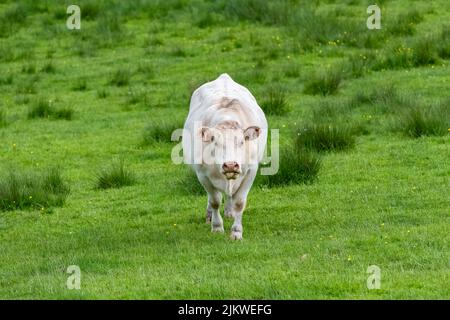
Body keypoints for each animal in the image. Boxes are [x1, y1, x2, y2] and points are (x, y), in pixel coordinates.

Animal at [182, 74, 268, 240]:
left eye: (242, 142)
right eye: (215, 141)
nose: (230, 165)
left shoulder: (250, 172)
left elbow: (239, 202)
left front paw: (236, 232)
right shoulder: (202, 174)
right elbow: (215, 201)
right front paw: (216, 227)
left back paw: (229, 212)